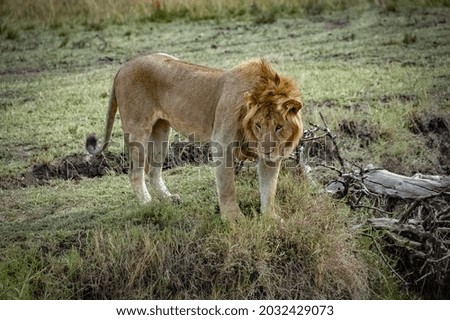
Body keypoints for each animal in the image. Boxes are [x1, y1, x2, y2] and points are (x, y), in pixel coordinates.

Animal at [85, 53, 302, 221]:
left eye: (279, 127)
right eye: (258, 125)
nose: (266, 150)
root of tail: (123, 67)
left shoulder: (272, 158)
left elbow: (269, 190)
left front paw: (271, 218)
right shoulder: (222, 144)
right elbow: (227, 188)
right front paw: (234, 219)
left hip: (161, 131)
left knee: (152, 171)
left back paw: (168, 199)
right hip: (137, 128)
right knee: (135, 172)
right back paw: (147, 203)